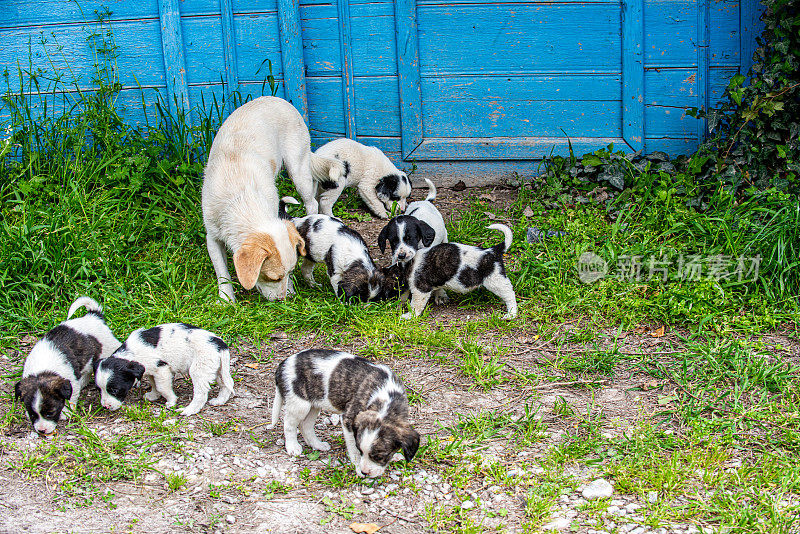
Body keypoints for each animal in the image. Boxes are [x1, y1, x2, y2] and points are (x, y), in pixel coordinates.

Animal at [14, 298, 121, 436]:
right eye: (33, 415)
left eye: (50, 413)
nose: (42, 431)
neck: (43, 371)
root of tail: (93, 316)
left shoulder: (71, 381)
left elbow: (71, 397)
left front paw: (66, 413)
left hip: (108, 347)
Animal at [94, 322, 233, 418]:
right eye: (99, 390)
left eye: (115, 390)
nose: (105, 406)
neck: (130, 355)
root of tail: (220, 344)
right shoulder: (151, 371)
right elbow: (154, 384)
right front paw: (153, 395)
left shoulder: (162, 369)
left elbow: (162, 387)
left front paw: (171, 401)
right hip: (216, 368)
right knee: (227, 384)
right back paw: (220, 400)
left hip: (199, 369)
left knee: (201, 393)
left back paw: (188, 410)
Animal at [205, 97, 332, 304]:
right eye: (274, 278)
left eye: (290, 272)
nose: (285, 299)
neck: (241, 198)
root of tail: (278, 99)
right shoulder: (212, 237)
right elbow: (221, 272)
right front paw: (226, 299)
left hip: (297, 169)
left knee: (311, 202)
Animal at [268, 350, 418, 480]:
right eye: (361, 451)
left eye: (379, 456)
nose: (365, 472)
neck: (386, 397)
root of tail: (283, 364)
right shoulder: (348, 419)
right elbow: (353, 448)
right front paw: (357, 467)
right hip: (299, 403)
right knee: (289, 424)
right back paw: (292, 447)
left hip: (314, 405)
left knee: (305, 425)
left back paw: (317, 445)